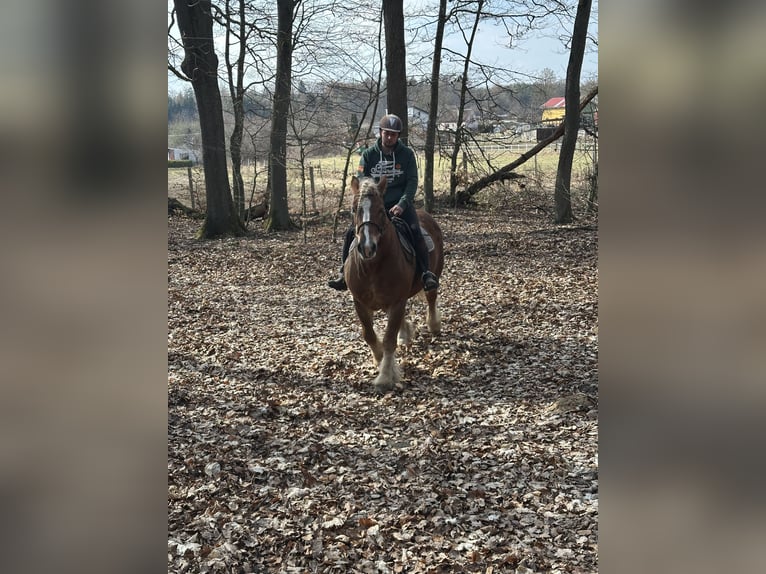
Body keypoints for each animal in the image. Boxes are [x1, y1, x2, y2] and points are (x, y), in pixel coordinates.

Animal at [344, 175, 444, 393]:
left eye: (381, 210)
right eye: (354, 209)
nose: (367, 247)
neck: (372, 267)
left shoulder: (397, 301)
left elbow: (389, 339)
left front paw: (385, 376)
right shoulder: (359, 302)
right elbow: (369, 335)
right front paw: (379, 358)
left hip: (435, 274)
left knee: (431, 299)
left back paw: (434, 325)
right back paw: (405, 334)